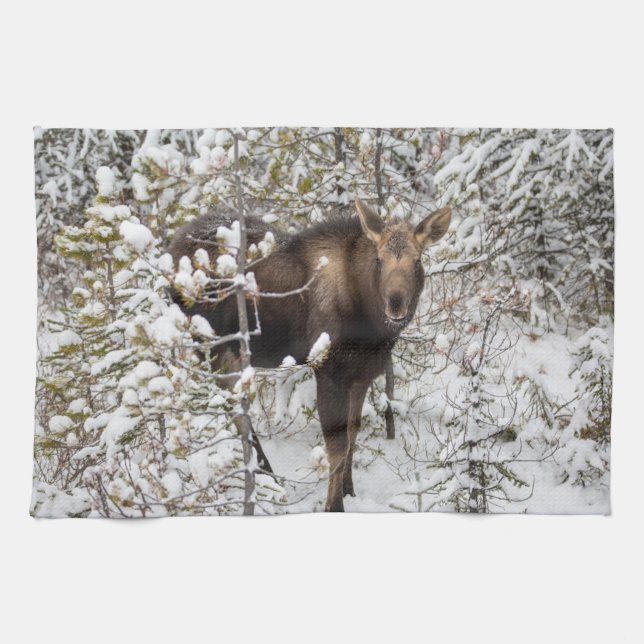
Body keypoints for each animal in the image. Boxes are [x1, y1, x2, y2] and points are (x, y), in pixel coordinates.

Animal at [169, 198, 452, 511]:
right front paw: (334, 505)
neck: (370, 325)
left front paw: (349, 489)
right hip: (213, 346)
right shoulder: (329, 370)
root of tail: (170, 248)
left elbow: (353, 432)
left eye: (418, 261)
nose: (396, 304)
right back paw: (266, 474)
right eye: (379, 260)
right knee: (235, 410)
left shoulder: (362, 373)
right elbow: (336, 447)